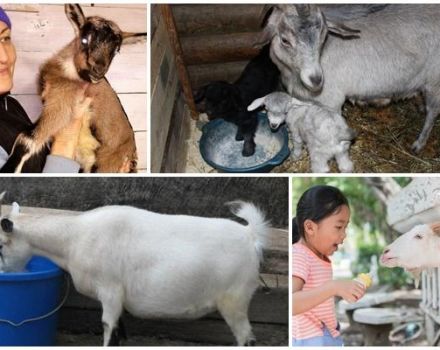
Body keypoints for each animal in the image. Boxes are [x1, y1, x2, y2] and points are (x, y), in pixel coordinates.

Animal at [0, 198, 268, 346]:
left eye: (1, 245)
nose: (5, 272)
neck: (73, 237)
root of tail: (250, 235)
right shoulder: (118, 299)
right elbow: (119, 331)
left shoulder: (110, 291)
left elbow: (109, 330)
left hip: (234, 300)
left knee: (247, 339)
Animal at [260, 4, 440, 153]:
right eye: (285, 40)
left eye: (323, 36)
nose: (316, 79)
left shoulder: (332, 101)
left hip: (434, 82)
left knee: (433, 112)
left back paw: (418, 144)